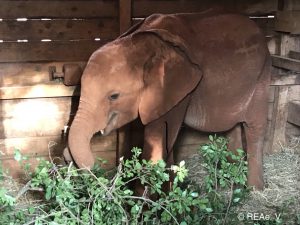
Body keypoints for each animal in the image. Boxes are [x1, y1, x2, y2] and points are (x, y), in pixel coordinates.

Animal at [69, 10, 270, 190]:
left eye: (114, 96)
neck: (146, 45)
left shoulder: (177, 89)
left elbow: (159, 142)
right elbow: (168, 142)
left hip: (262, 76)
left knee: (255, 128)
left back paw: (254, 190)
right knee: (232, 126)